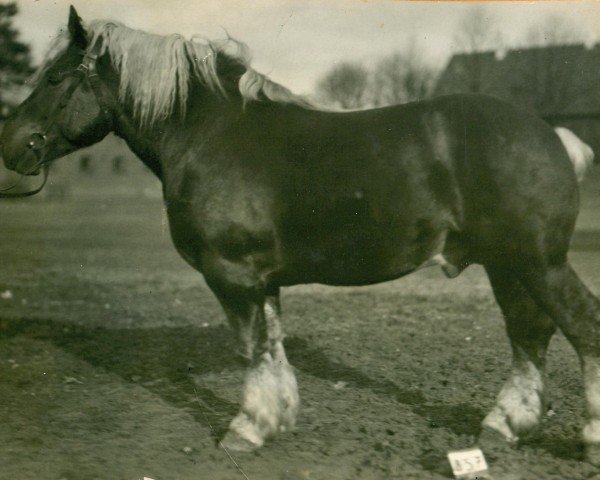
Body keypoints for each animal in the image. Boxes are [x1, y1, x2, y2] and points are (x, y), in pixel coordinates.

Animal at [3, 7, 600, 464]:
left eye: (54, 78)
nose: (12, 143)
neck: (210, 135)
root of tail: (551, 133)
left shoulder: (233, 274)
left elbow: (252, 349)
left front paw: (246, 428)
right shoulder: (259, 279)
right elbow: (272, 346)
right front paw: (277, 418)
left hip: (537, 262)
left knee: (581, 327)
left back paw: (587, 440)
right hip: (507, 264)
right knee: (529, 335)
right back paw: (503, 425)